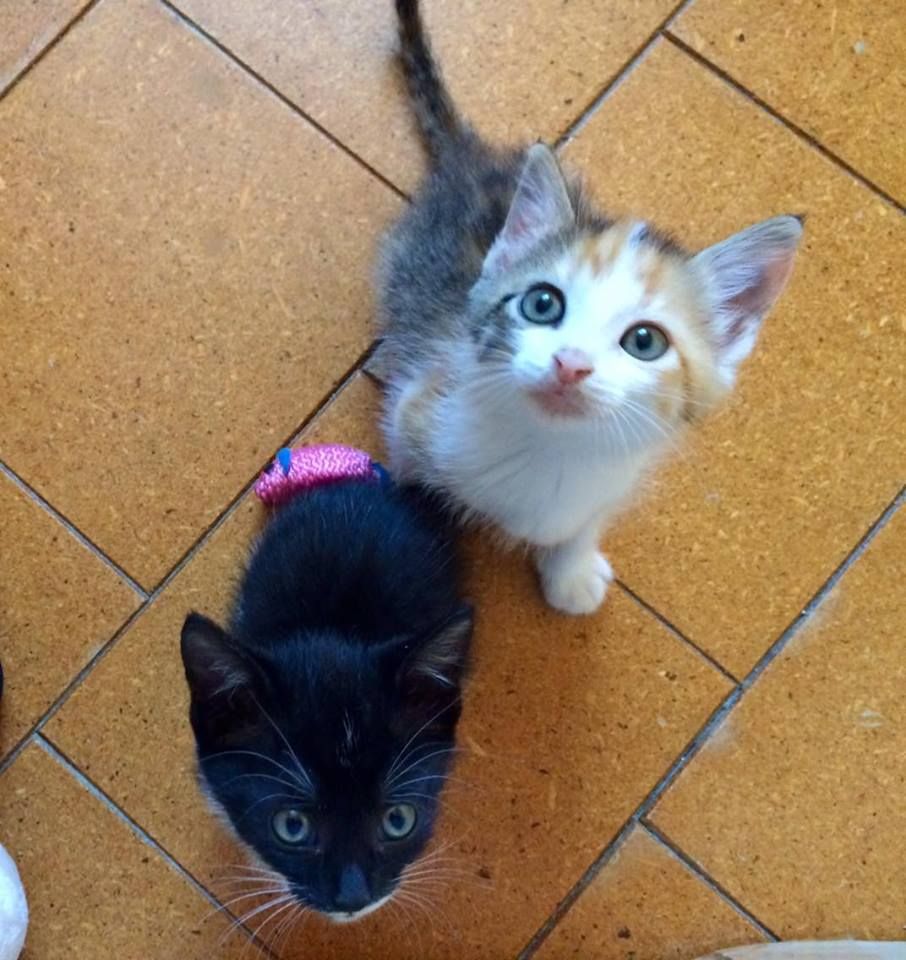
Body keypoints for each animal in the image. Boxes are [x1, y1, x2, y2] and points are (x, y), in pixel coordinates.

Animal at [376, 0, 803, 616]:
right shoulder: (417, 407)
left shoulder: (614, 480)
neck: (552, 449)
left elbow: (584, 521)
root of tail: (472, 160)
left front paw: (571, 569)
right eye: (542, 303)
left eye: (645, 341)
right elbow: (408, 473)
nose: (570, 364)